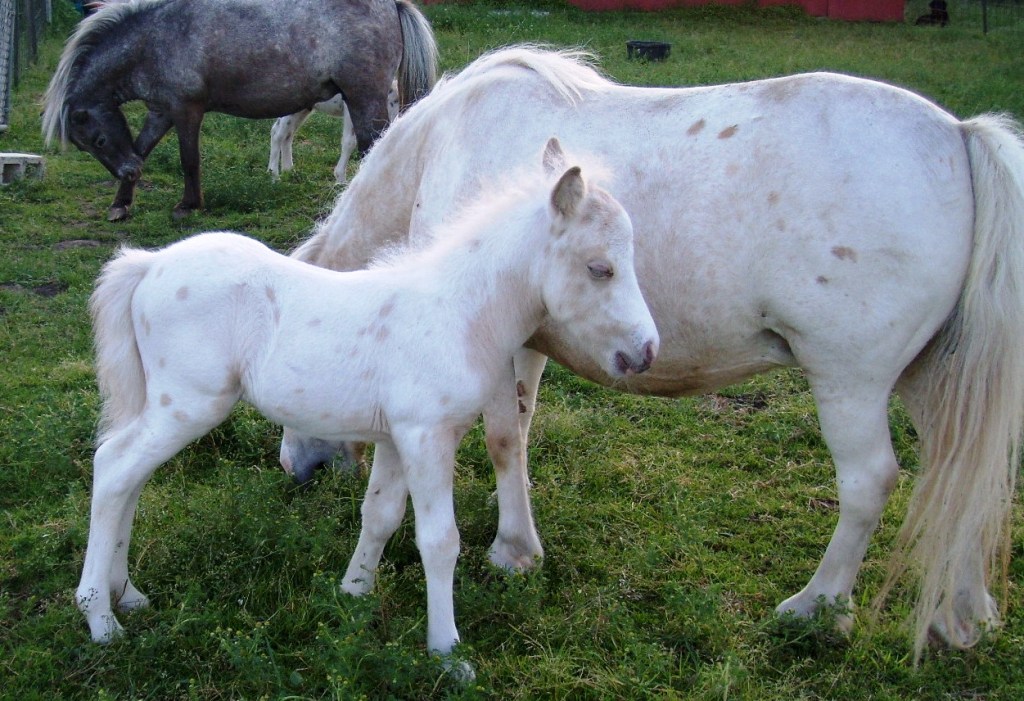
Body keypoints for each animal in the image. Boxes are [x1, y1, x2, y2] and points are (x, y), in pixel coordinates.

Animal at [77, 138, 659, 675]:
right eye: (600, 268)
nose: (646, 351)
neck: (460, 311)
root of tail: (150, 263)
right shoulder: (427, 436)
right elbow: (440, 540)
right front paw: (447, 652)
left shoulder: (398, 438)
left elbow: (380, 514)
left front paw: (354, 591)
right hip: (189, 403)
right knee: (113, 468)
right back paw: (100, 617)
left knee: (129, 479)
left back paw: (126, 594)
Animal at [268, 80, 400, 185]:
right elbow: (349, 142)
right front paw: (340, 180)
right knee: (277, 132)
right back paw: (274, 176)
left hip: (303, 107)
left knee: (288, 133)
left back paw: (289, 171)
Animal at [285, 47, 1024, 662]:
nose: (294, 467)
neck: (443, 146)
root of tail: (959, 136)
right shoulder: (527, 341)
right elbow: (518, 431)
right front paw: (516, 539)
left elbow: (500, 438)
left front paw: (512, 549)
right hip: (934, 381)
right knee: (960, 473)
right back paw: (963, 615)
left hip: (850, 381)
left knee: (870, 483)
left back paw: (817, 606)